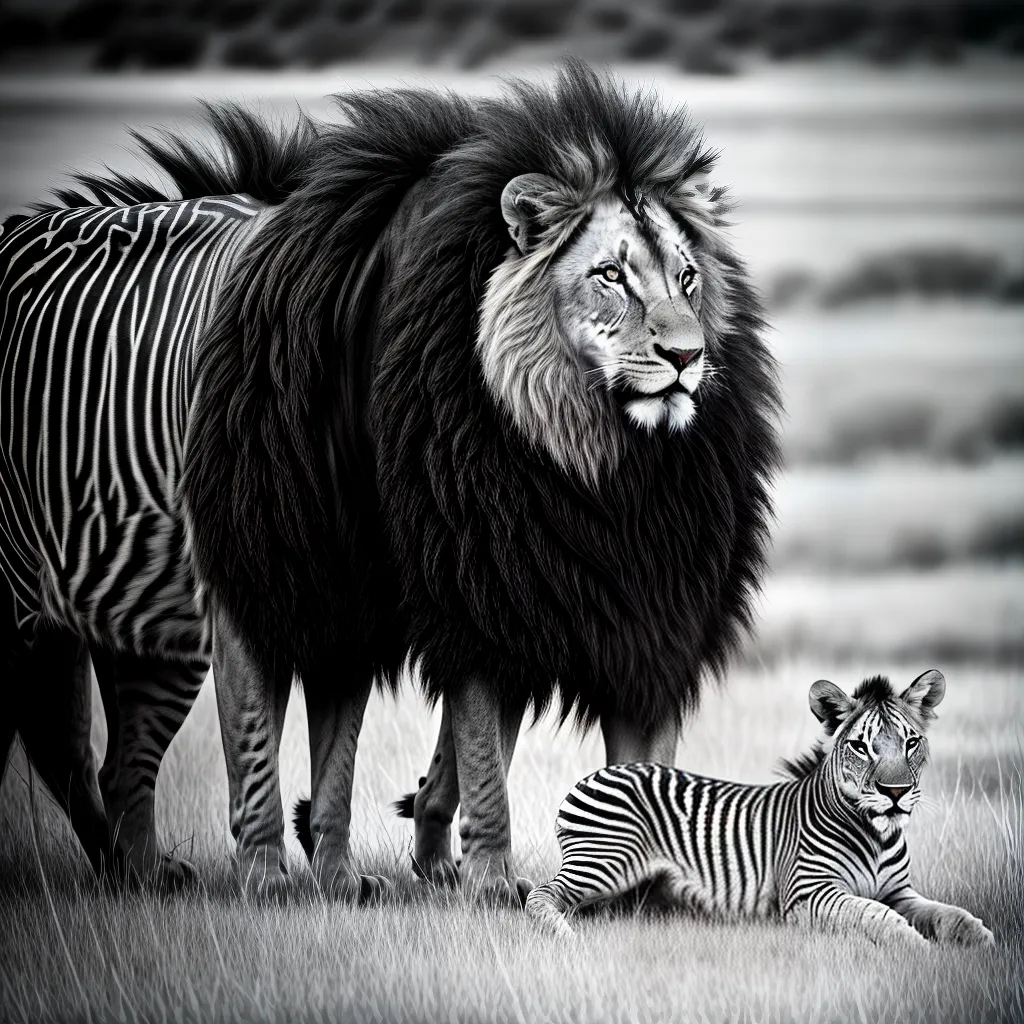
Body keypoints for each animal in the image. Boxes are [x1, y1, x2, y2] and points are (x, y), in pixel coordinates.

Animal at [525, 670, 995, 947]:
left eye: (911, 743)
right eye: (860, 747)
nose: (895, 792)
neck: (876, 837)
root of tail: (592, 775)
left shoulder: (901, 892)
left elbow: (947, 913)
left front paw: (980, 940)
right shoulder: (809, 892)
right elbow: (874, 914)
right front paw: (918, 947)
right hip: (606, 860)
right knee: (541, 894)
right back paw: (562, 934)